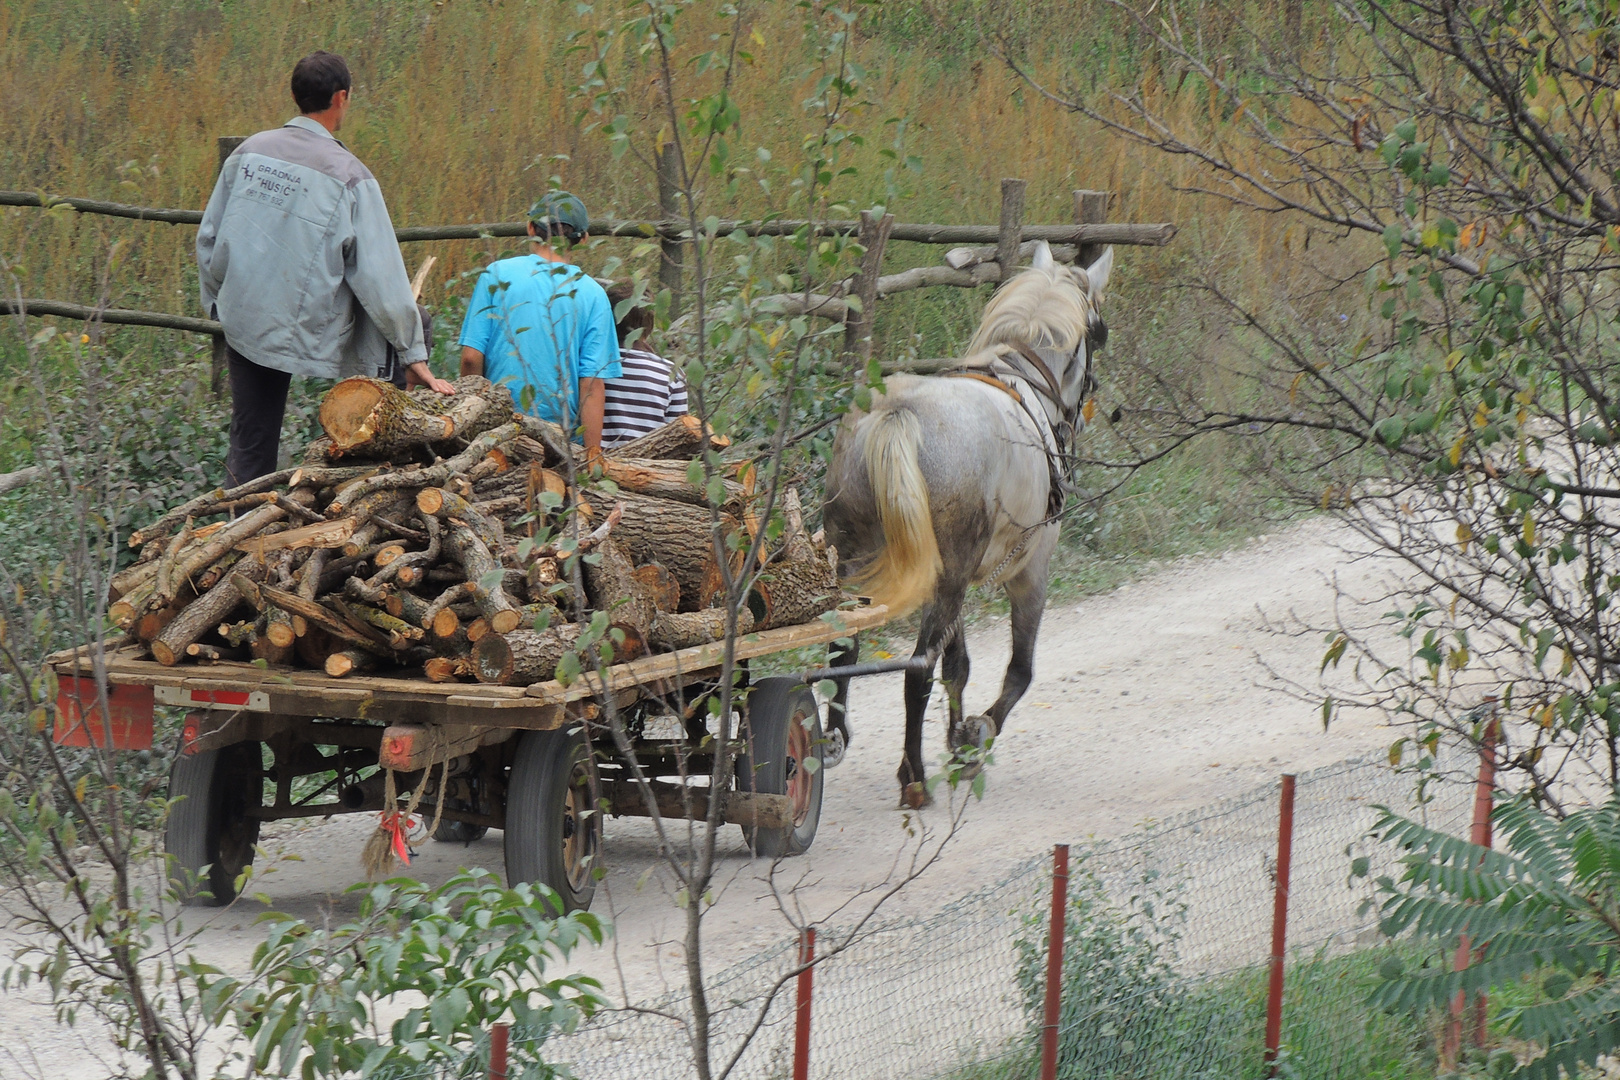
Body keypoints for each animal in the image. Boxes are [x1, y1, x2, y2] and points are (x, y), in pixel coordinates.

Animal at [829, 241, 1108, 806]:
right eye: (1100, 330)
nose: (1079, 417)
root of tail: (898, 414)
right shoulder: (1031, 573)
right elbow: (1019, 672)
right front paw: (974, 737)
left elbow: (959, 667)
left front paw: (958, 738)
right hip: (948, 577)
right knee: (917, 672)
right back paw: (913, 777)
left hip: (862, 561)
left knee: (843, 647)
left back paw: (830, 737)